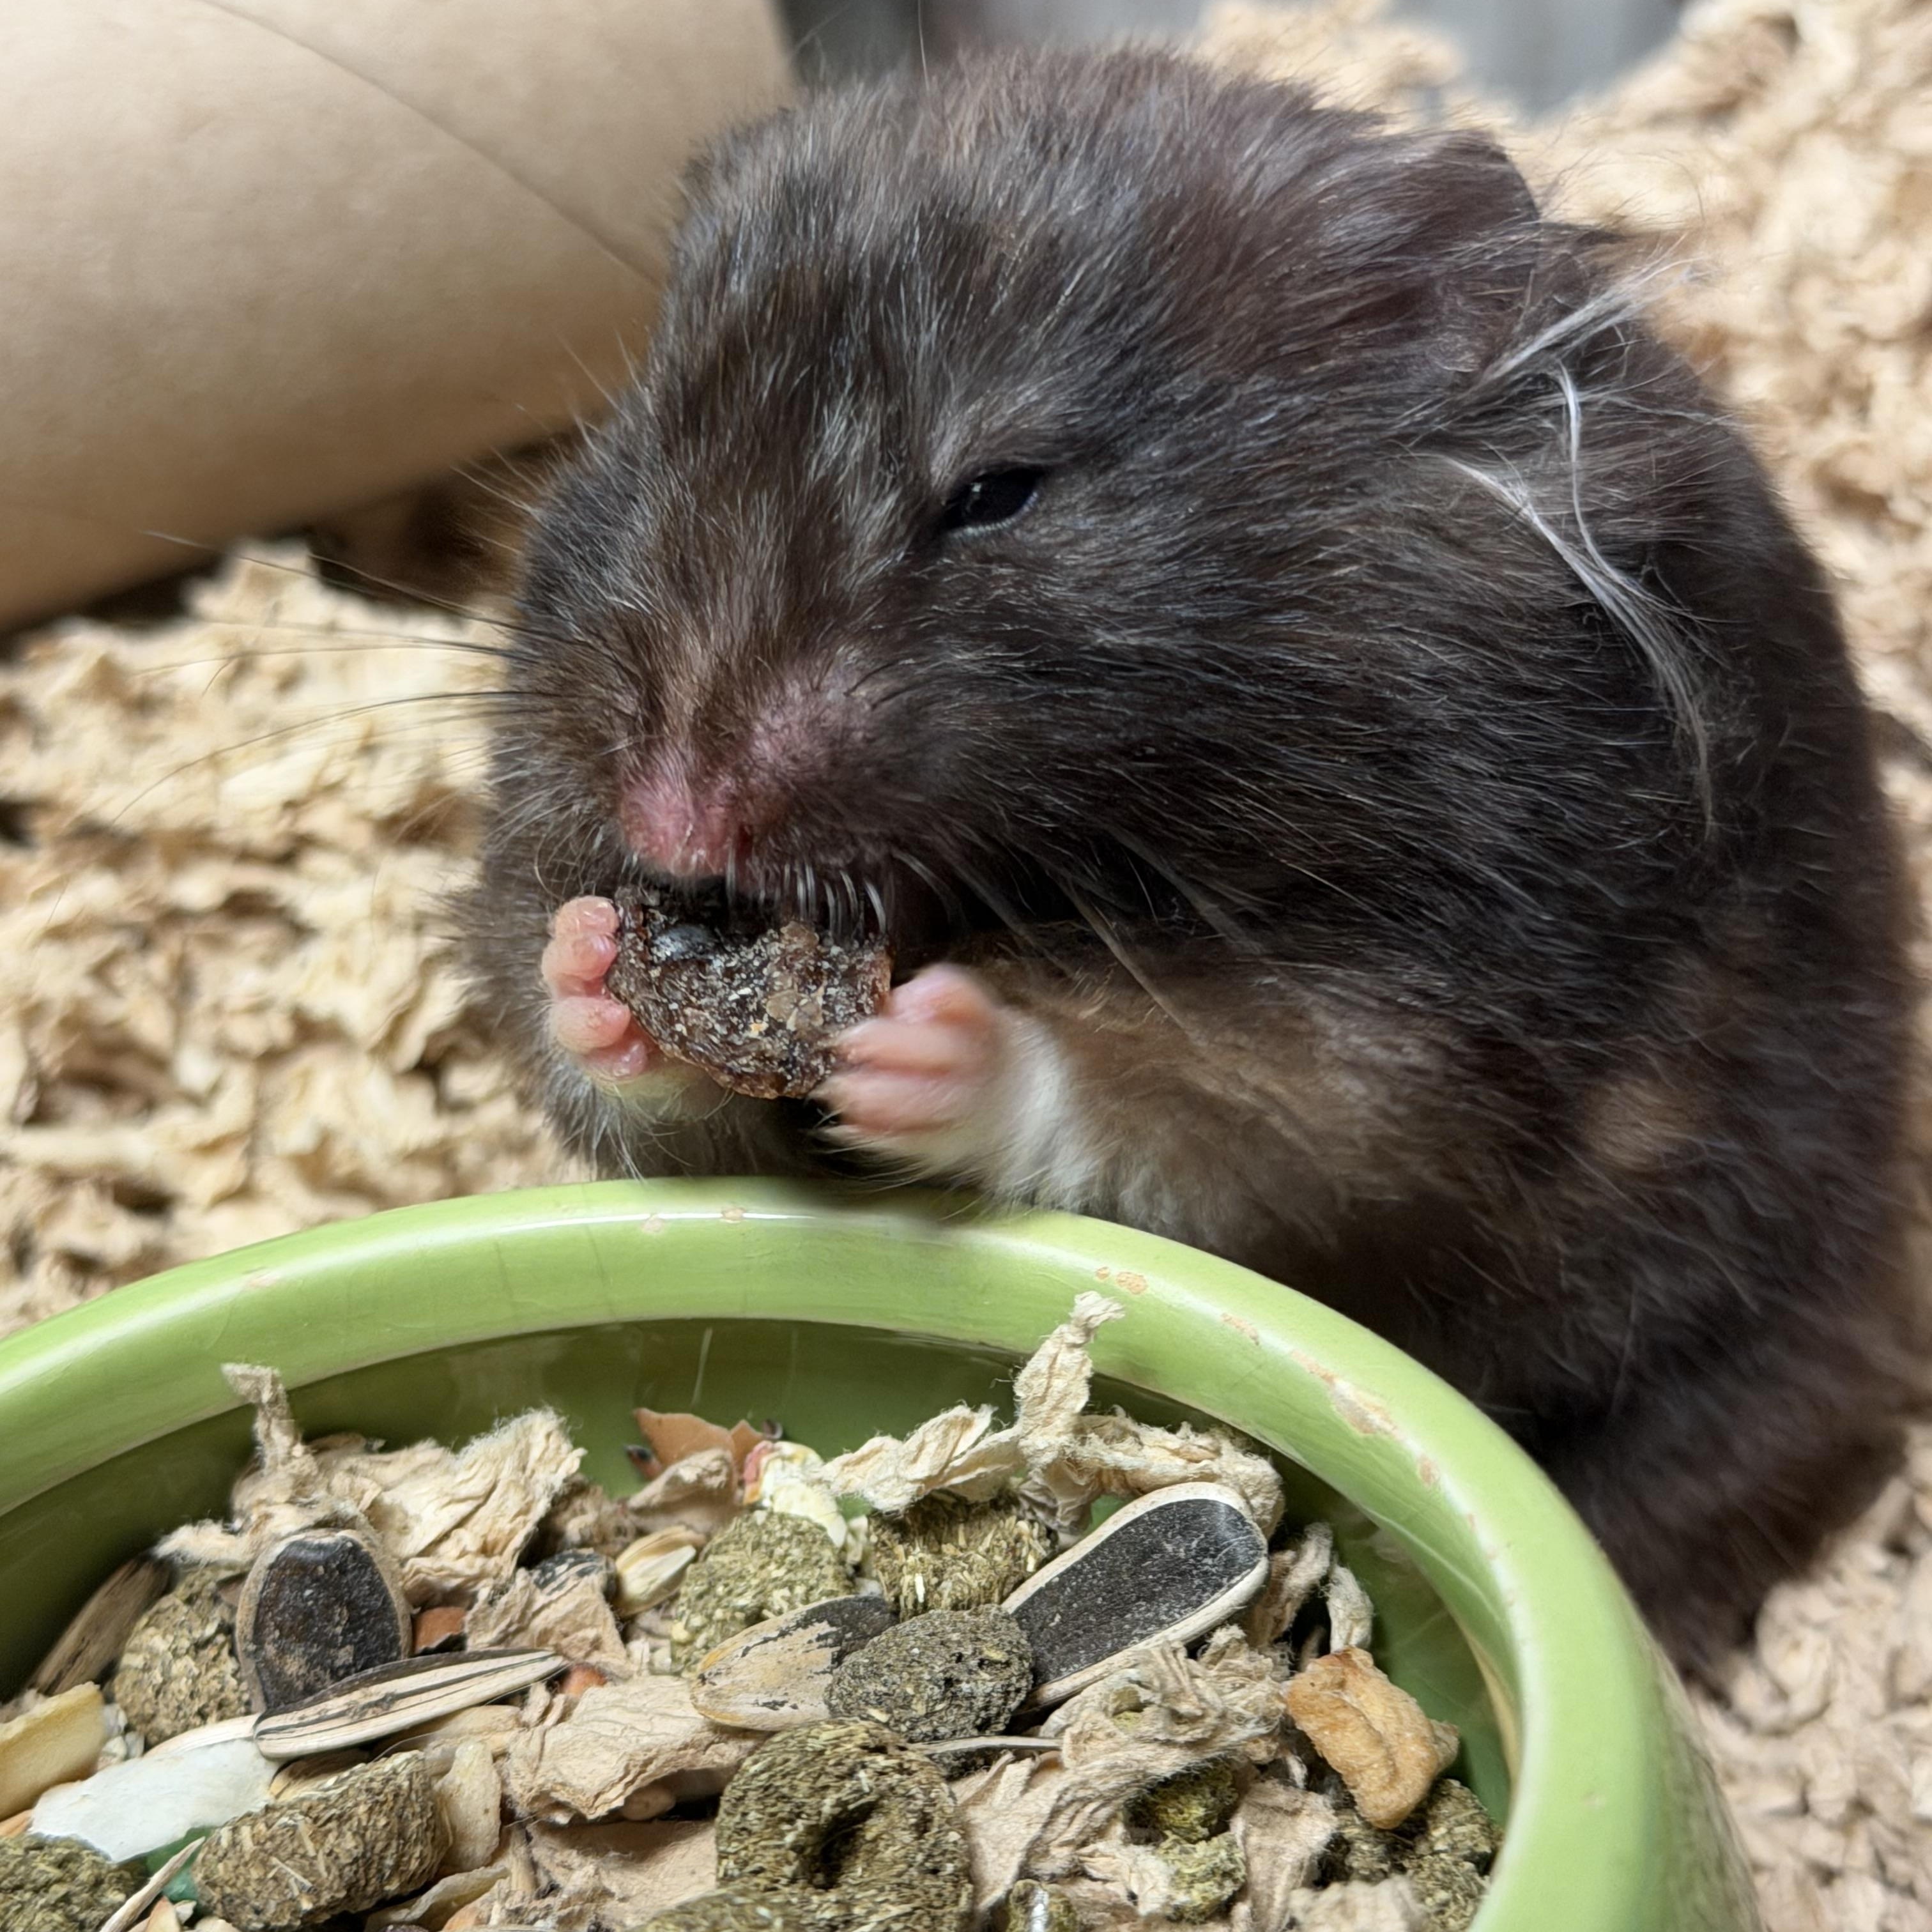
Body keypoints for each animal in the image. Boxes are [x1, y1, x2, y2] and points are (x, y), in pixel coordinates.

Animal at [460, 46, 1921, 1670]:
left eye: (1001, 490)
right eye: (651, 443)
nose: (672, 827)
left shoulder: (1443, 1013)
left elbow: (1214, 1112)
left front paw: (924, 1045)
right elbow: (604, 1062)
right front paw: (594, 960)